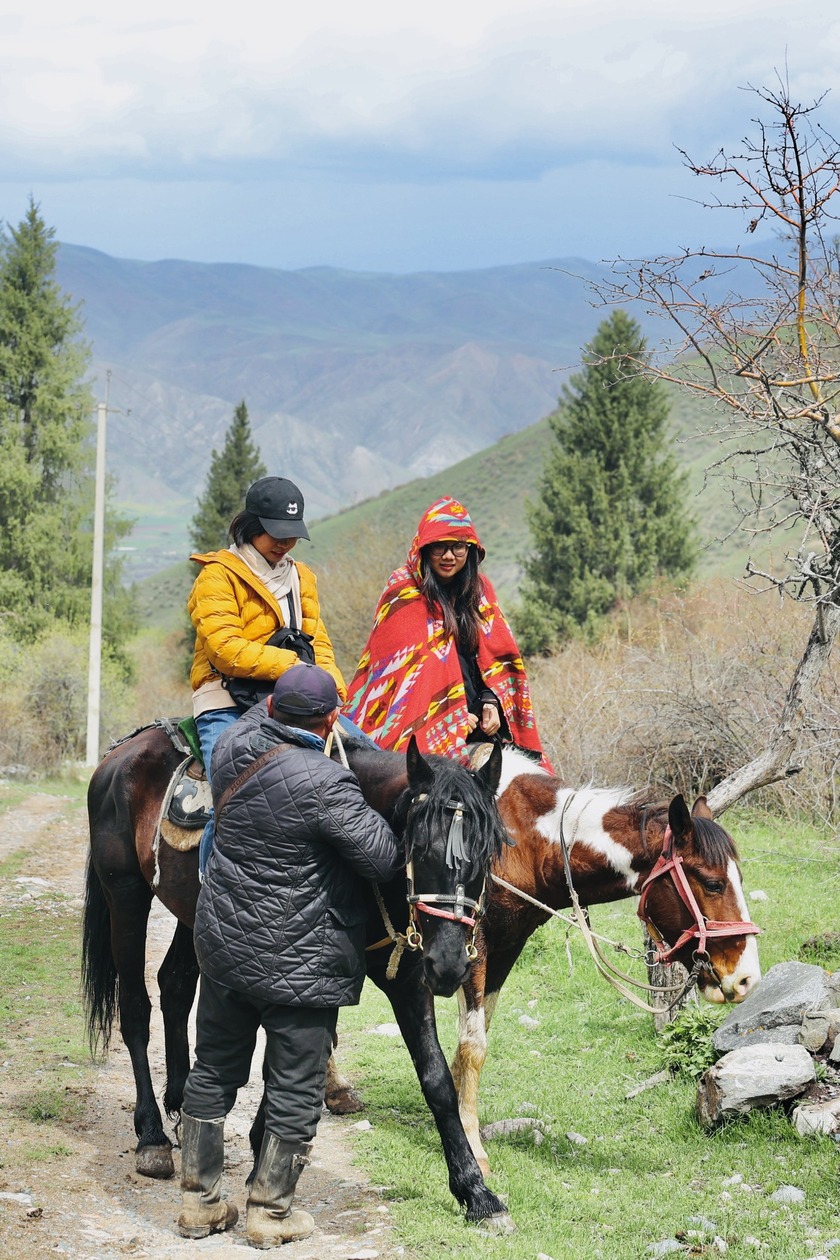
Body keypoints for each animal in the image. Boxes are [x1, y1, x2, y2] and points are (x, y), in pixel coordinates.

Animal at [81, 725, 516, 1224]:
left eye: (484, 855)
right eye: (418, 849)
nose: (449, 964)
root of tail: (122, 753)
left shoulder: (399, 980)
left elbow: (436, 1079)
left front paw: (475, 1190)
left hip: (193, 918)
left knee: (174, 985)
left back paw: (182, 1102)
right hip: (125, 896)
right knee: (135, 1010)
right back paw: (151, 1135)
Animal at [450, 745, 765, 1169]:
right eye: (714, 883)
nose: (747, 978)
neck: (520, 839)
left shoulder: (508, 944)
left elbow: (475, 1034)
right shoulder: (476, 942)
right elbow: (473, 1045)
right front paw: (470, 1143)